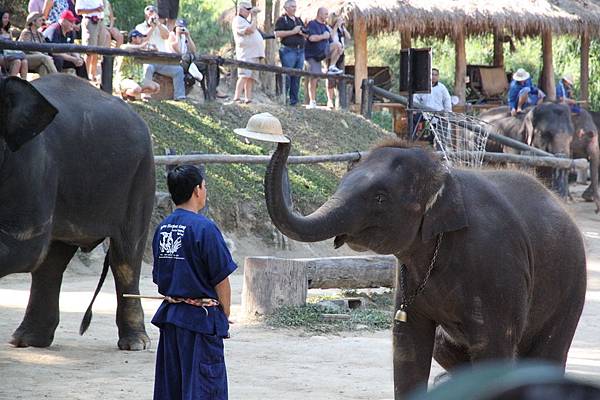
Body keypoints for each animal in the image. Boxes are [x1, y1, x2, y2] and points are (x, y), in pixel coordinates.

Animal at [0, 75, 155, 350]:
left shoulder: (31, 166)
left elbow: (26, 248)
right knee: (52, 262)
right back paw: (28, 340)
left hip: (141, 177)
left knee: (126, 257)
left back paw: (135, 344)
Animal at [264, 139, 584, 398]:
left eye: (380, 198)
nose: (283, 141)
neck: (444, 178)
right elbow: (408, 341)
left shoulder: (497, 267)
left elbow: (492, 346)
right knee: (445, 344)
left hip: (570, 290)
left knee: (548, 352)